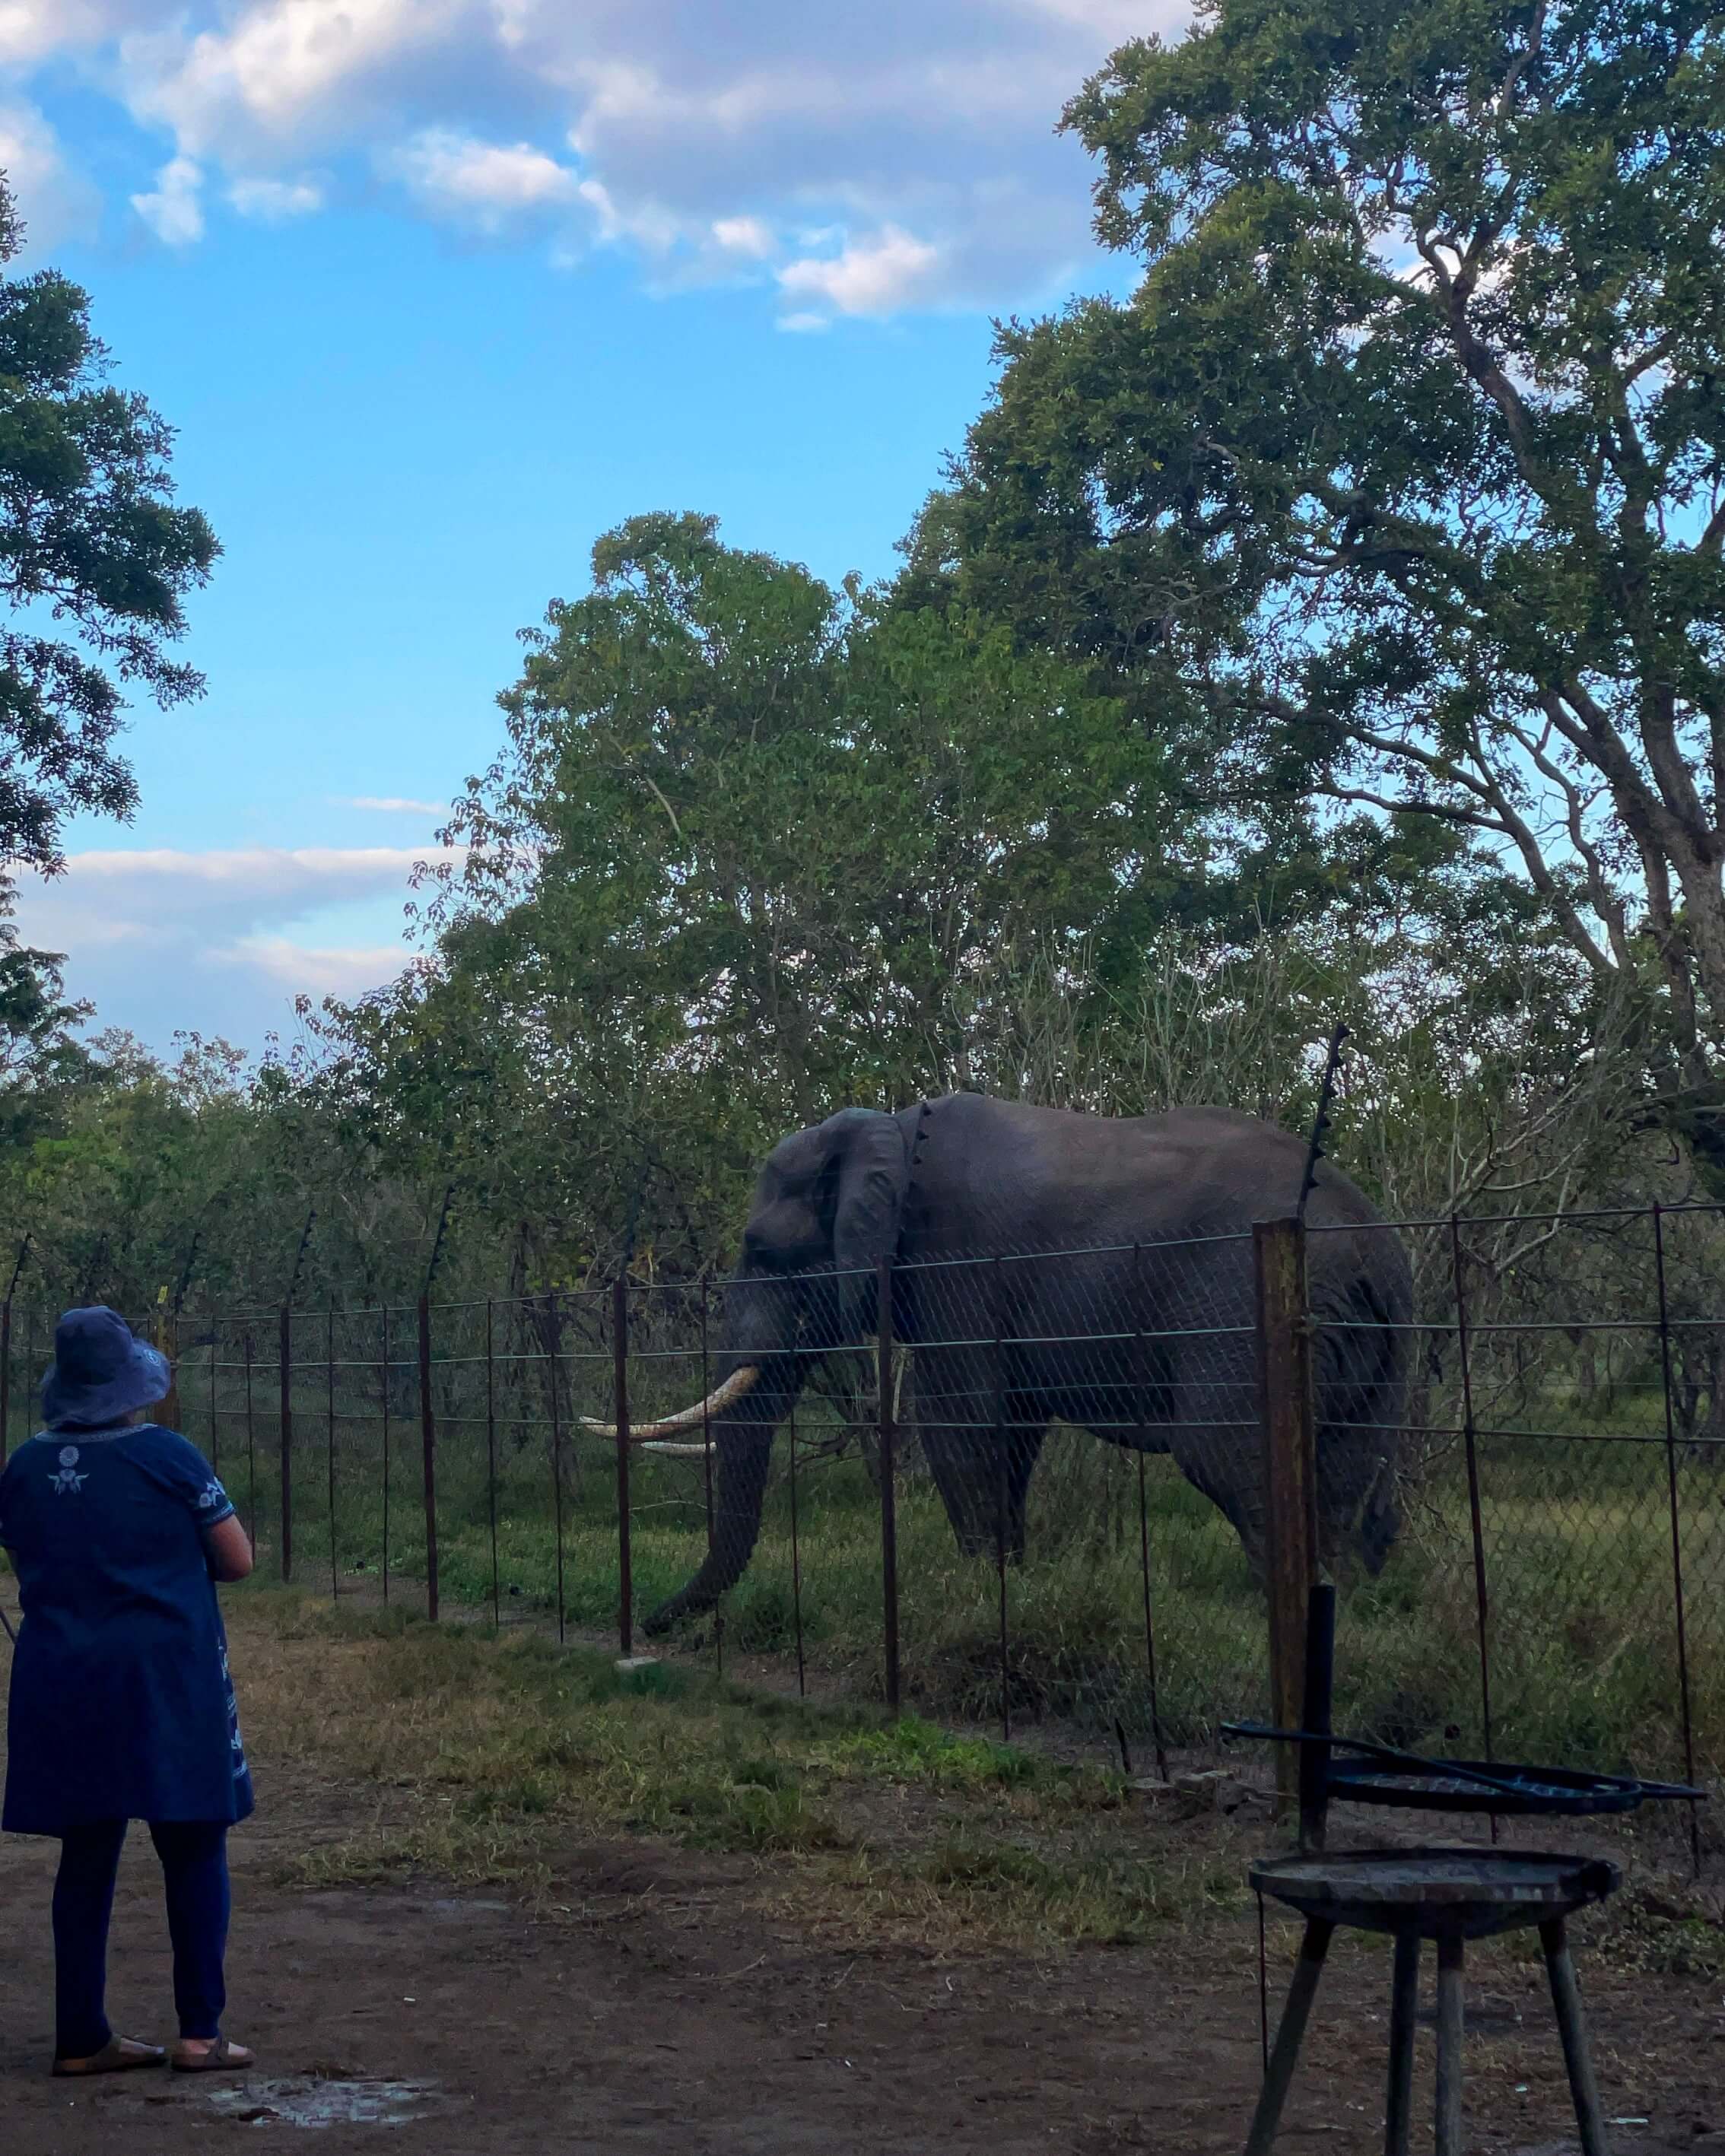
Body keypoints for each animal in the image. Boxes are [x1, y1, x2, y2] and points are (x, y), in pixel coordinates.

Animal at [595, 1095, 1414, 1630]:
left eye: (763, 1251)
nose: (652, 1626)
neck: (888, 1130)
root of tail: (1374, 1245)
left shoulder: (956, 1263)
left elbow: (959, 1428)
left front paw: (978, 1596)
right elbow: (1010, 1436)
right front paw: (1008, 1588)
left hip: (1245, 1311)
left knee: (1231, 1456)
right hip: (1376, 1343)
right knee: (1360, 1472)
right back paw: (1356, 1613)